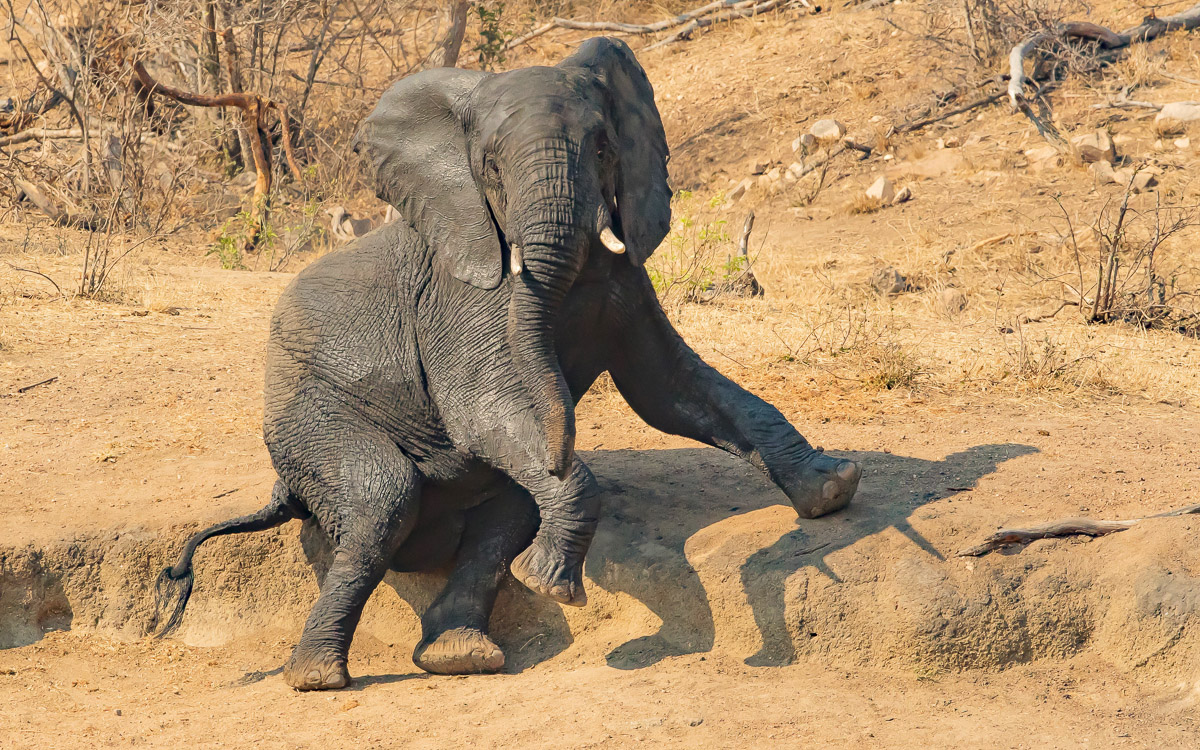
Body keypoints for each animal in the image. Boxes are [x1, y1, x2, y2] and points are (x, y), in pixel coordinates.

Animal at [153, 37, 861, 691]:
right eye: (490, 164)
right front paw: (555, 589)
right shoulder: (462, 288)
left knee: (506, 507)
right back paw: (319, 676)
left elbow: (670, 390)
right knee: (383, 497)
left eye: (603, 149)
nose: (562, 443)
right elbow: (483, 410)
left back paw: (462, 653)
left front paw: (834, 488)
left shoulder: (625, 278)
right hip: (306, 421)